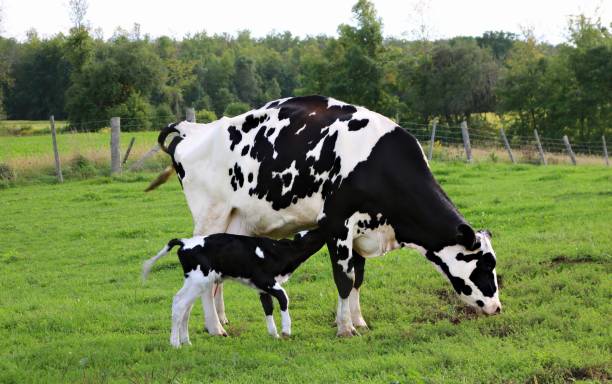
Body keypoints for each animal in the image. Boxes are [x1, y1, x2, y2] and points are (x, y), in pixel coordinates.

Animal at [143, 226, 326, 346]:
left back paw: (186, 342)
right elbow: (284, 298)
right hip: (198, 281)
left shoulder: (262, 289)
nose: (322, 227)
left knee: (184, 305)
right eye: (312, 232)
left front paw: (274, 335)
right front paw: (286, 331)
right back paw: (175, 344)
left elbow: (268, 307)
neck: (280, 252)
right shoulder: (266, 281)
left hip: (194, 282)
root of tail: (185, 242)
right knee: (179, 304)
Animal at [153, 95, 502, 336]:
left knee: (217, 280)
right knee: (204, 280)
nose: (497, 307)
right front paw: (345, 328)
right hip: (210, 217)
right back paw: (215, 327)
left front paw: (359, 321)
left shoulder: (362, 230)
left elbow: (358, 278)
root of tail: (194, 130)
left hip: (234, 223)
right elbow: (343, 280)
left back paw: (220, 319)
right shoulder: (337, 226)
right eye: (485, 266)